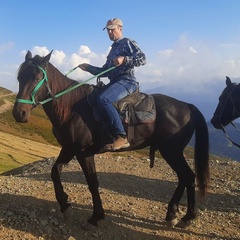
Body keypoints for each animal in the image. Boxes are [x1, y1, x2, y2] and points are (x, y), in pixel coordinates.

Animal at [12, 50, 209, 229]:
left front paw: (96, 217)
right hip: (170, 151)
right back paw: (173, 214)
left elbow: (92, 183)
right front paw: (65, 204)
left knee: (188, 176)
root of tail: (187, 106)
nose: (19, 113)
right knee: (184, 177)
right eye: (20, 77)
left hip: (171, 151)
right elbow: (55, 172)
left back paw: (187, 217)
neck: (71, 109)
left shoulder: (84, 153)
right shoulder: (68, 149)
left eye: (37, 77)